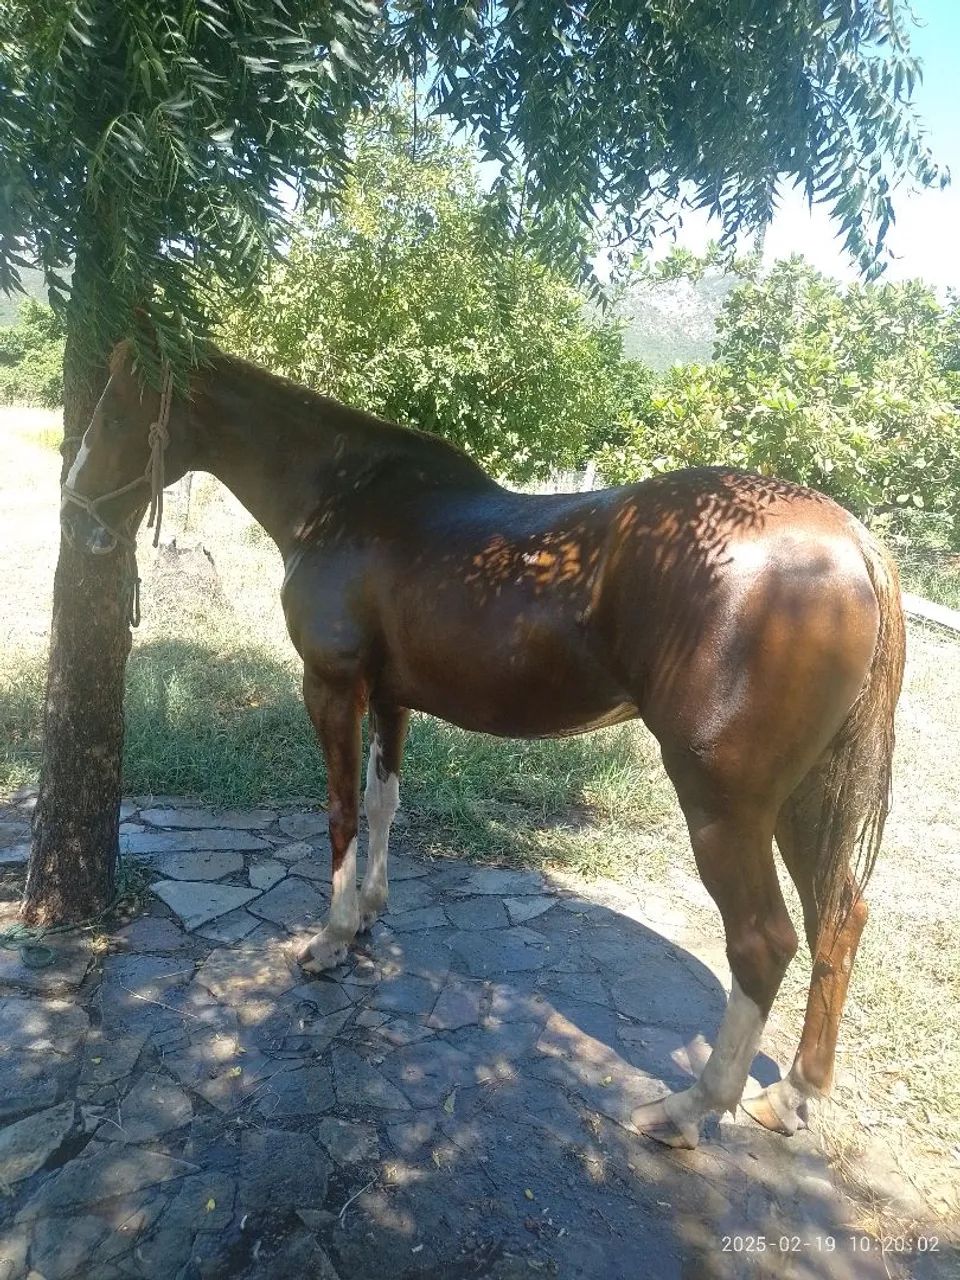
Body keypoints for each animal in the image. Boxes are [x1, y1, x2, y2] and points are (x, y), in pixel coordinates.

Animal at [60, 340, 905, 1150]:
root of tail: (851, 543)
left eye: (115, 407)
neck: (348, 498)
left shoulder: (331, 686)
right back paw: (791, 1095)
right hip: (803, 798)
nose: (75, 510)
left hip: (724, 804)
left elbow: (339, 810)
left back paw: (686, 1109)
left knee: (762, 941)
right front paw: (369, 912)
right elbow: (382, 802)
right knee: (840, 916)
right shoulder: (390, 698)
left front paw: (330, 938)